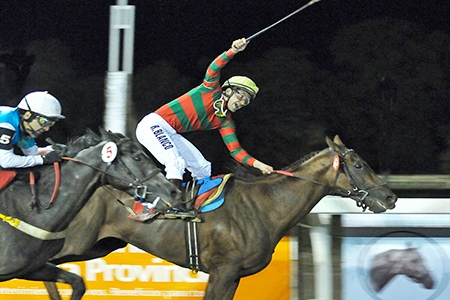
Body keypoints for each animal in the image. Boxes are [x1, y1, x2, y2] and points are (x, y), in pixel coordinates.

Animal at [47, 137, 396, 300]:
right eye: (359, 165)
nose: (390, 197)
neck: (264, 206)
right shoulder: (223, 271)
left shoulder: (234, 275)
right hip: (76, 241)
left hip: (100, 245)